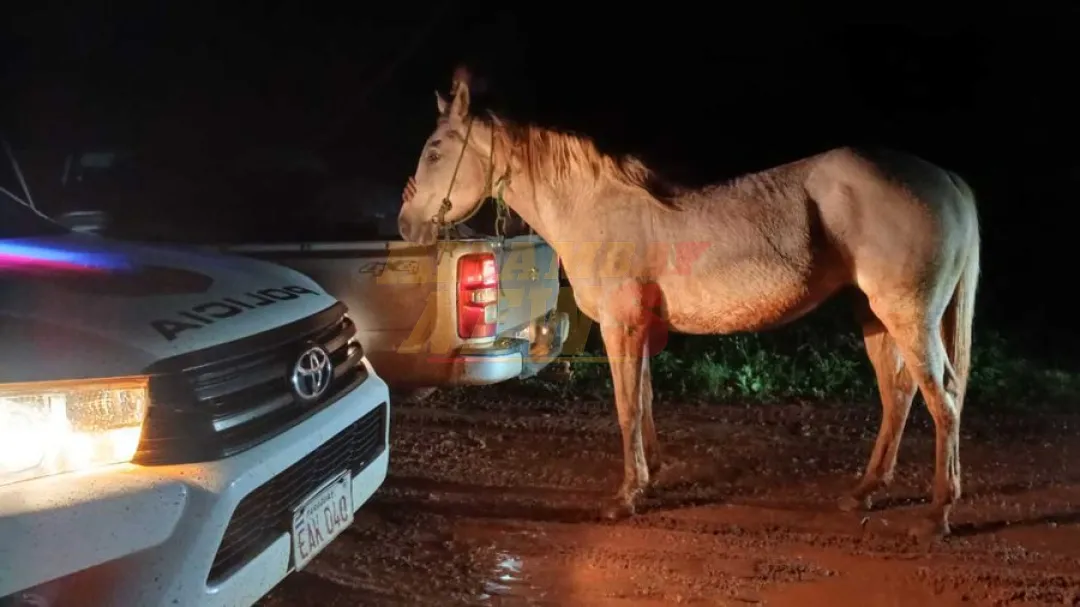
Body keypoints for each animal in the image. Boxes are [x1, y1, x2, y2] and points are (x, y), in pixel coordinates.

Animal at [397, 68, 981, 538]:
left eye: (434, 150)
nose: (406, 225)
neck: (595, 207)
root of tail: (949, 179)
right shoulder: (641, 327)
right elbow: (646, 400)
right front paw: (649, 479)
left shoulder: (621, 326)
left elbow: (627, 407)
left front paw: (626, 496)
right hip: (875, 316)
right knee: (899, 393)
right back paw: (865, 491)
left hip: (907, 315)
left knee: (943, 398)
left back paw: (938, 513)